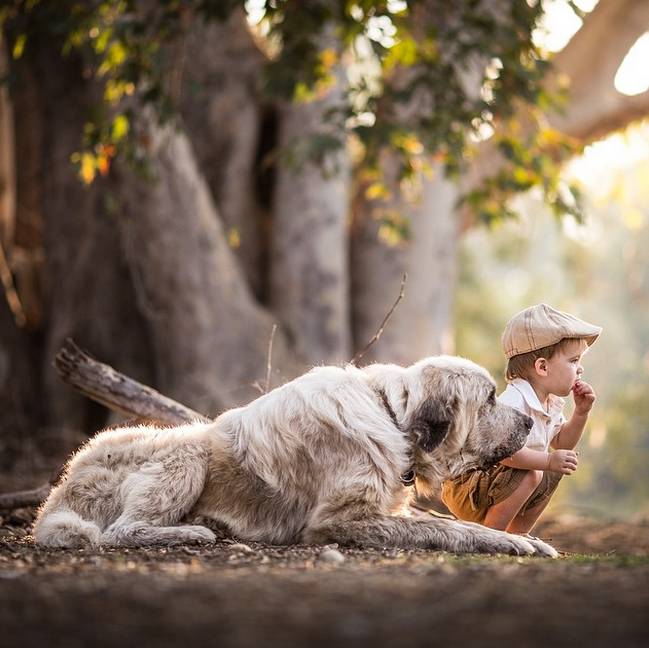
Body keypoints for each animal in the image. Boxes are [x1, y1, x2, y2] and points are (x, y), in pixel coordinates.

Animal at [31, 354, 556, 556]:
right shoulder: (338, 520)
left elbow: (443, 521)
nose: (530, 423)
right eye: (490, 399)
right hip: (186, 452)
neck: (390, 416)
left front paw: (529, 539)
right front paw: (513, 542)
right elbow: (446, 528)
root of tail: (61, 487)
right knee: (119, 532)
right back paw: (191, 532)